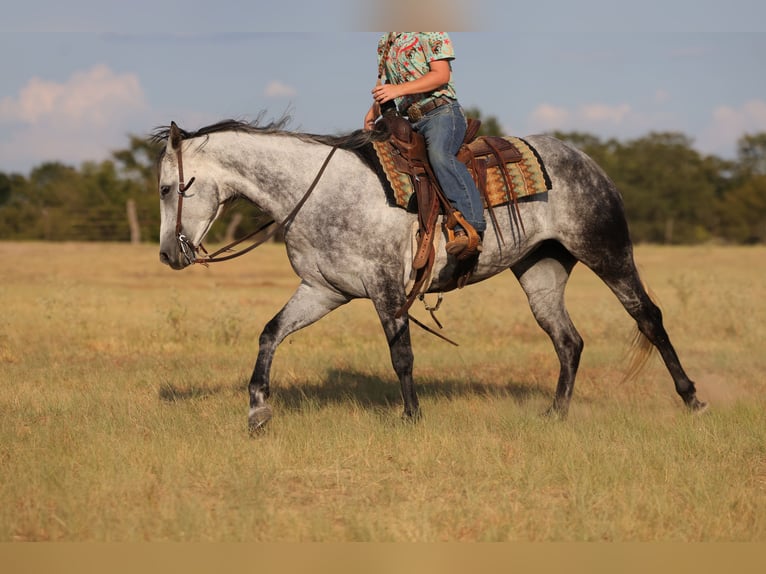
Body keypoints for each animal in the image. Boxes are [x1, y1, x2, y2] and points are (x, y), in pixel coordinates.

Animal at [153, 117, 706, 431]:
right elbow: (270, 334)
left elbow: (401, 355)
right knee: (568, 340)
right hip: (540, 269)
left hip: (607, 252)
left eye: (165, 187)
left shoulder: (385, 287)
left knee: (649, 317)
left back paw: (693, 400)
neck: (321, 192)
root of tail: (588, 160)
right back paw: (556, 414)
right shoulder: (324, 290)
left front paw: (412, 417)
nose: (167, 256)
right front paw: (257, 412)